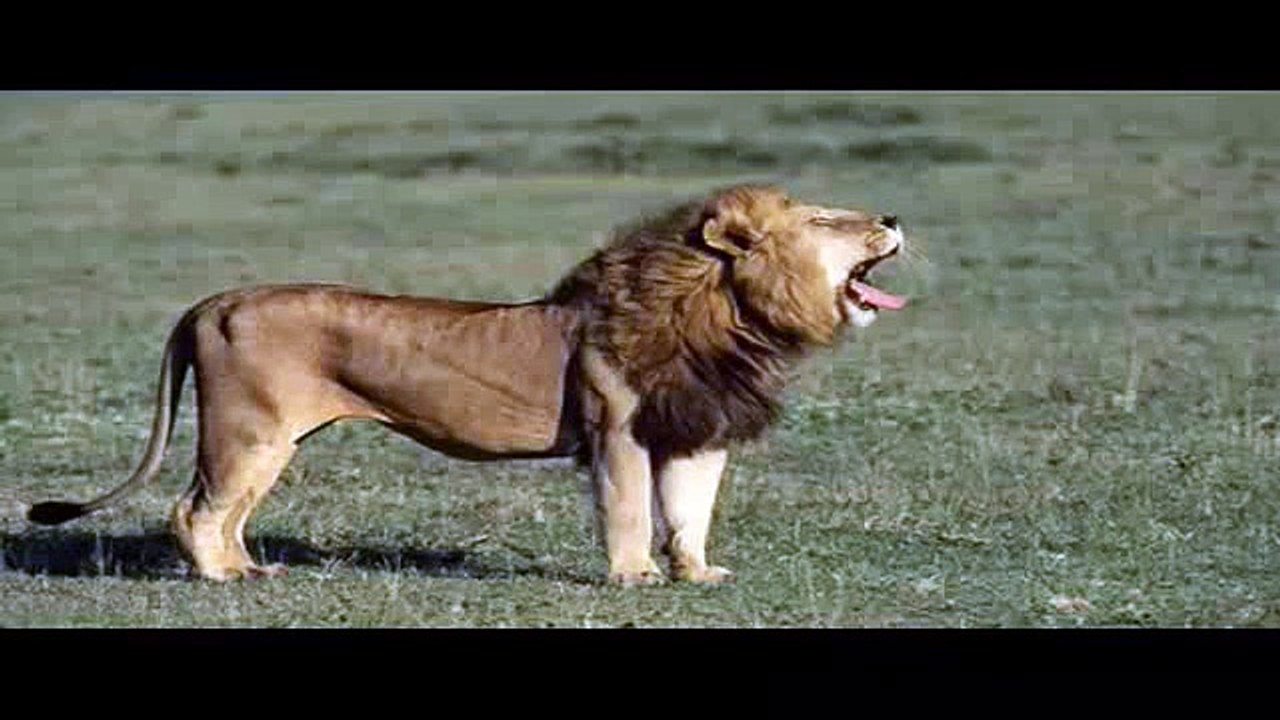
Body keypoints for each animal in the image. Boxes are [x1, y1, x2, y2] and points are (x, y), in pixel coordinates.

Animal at [27, 184, 907, 584]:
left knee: (228, 512)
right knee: (194, 509)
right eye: (826, 219)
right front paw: (634, 578)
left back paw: (249, 569)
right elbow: (630, 510)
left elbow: (690, 513)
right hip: (249, 430)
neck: (729, 314)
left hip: (273, 439)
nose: (895, 218)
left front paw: (696, 575)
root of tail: (212, 301)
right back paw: (222, 579)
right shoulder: (617, 430)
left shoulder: (695, 430)